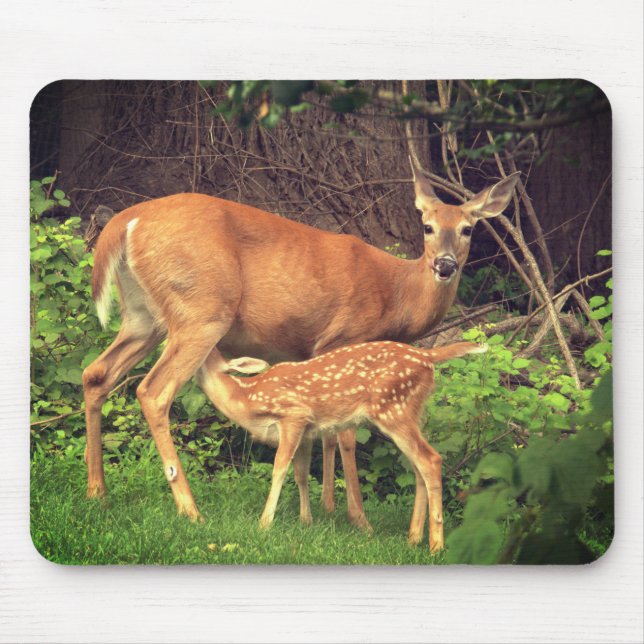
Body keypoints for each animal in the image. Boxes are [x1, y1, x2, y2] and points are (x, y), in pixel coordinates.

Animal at [82, 159, 519, 528]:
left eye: (468, 228)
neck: (398, 294)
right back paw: (190, 510)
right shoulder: (345, 336)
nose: (444, 265)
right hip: (202, 311)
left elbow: (323, 435)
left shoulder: (319, 354)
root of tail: (127, 221)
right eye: (427, 226)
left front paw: (324, 509)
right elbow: (345, 437)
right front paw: (357, 518)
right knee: (153, 391)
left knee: (96, 373)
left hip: (144, 317)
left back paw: (97, 492)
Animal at [197, 340, 487, 552]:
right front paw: (306, 521)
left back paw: (435, 546)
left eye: (205, 352)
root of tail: (428, 355)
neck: (247, 398)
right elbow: (301, 475)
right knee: (418, 467)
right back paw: (413, 538)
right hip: (411, 412)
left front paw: (264, 525)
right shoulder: (307, 433)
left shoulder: (293, 415)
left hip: (393, 409)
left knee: (431, 459)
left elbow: (279, 469)